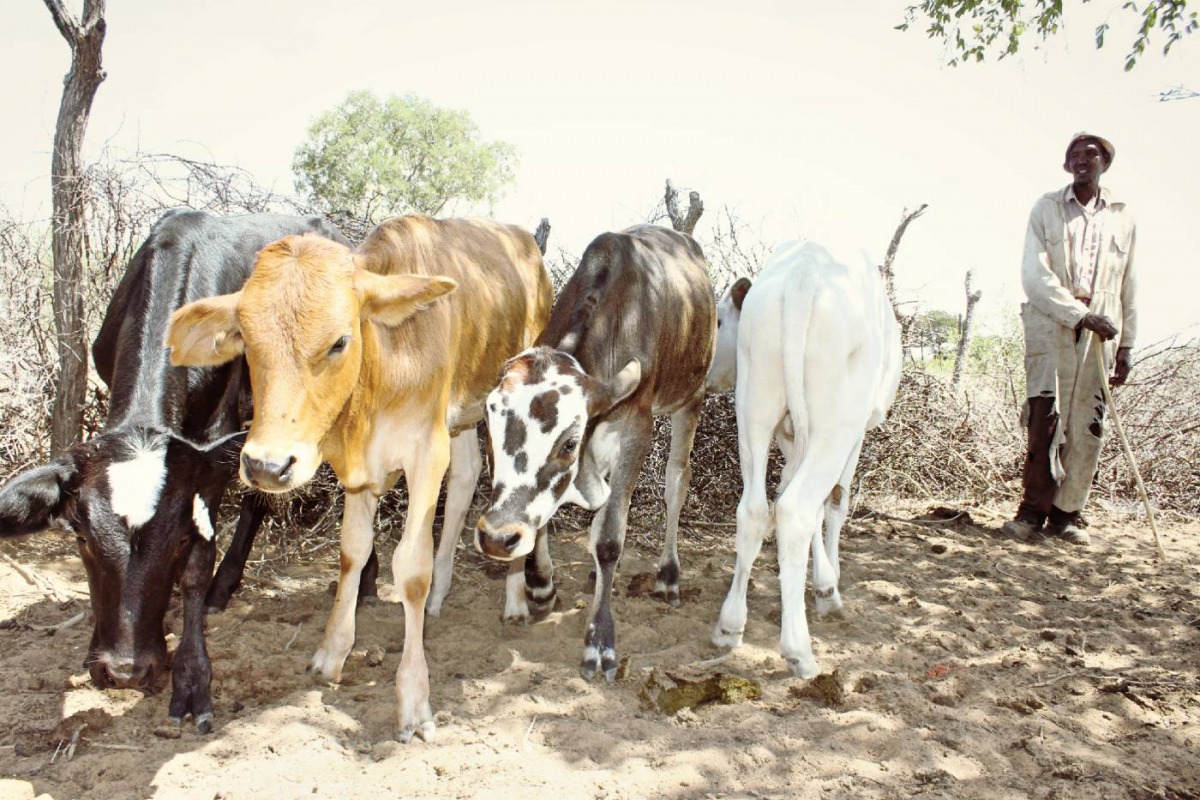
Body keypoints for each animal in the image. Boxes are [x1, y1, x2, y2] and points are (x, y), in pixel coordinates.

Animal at [0, 210, 353, 733]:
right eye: (80, 537)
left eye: (179, 539)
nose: (125, 671)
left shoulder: (213, 444)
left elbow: (197, 567)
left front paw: (190, 677)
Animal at [165, 215, 553, 742]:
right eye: (245, 339)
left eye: (339, 341)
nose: (267, 465)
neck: (385, 366)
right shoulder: (364, 469)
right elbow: (352, 551)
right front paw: (332, 653)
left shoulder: (425, 450)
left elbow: (410, 569)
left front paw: (413, 699)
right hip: (462, 416)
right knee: (466, 481)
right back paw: (443, 593)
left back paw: (515, 599)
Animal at [474, 224, 717, 682]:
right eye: (489, 433)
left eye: (569, 442)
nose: (497, 538)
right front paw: (540, 584)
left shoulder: (637, 429)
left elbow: (609, 538)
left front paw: (600, 641)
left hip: (690, 398)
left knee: (676, 482)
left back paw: (668, 577)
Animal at [705, 240, 901, 678]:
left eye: (720, 321)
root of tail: (806, 269)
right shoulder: (854, 434)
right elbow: (833, 502)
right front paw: (828, 584)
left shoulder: (787, 431)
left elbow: (782, 493)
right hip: (837, 424)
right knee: (797, 508)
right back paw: (800, 651)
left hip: (754, 407)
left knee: (755, 509)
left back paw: (729, 625)